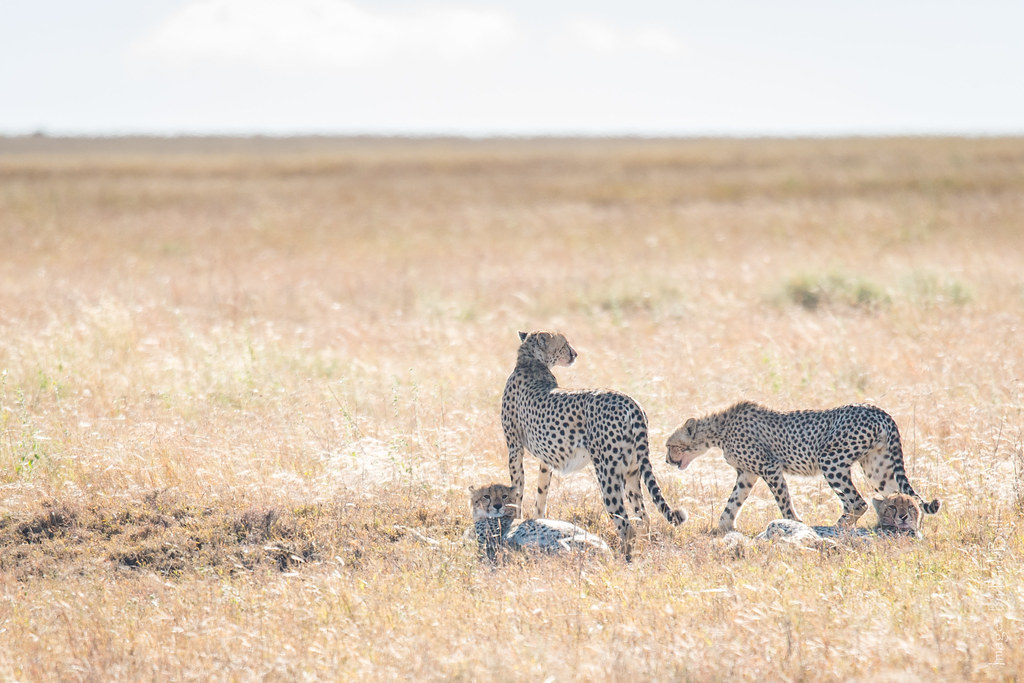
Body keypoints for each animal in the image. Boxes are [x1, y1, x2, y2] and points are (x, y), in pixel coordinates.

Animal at [468, 481, 606, 561]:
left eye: (504, 496)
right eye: (486, 496)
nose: (497, 506)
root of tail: (607, 550)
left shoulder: (486, 541)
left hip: (563, 543)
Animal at [499, 331, 684, 561]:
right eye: (564, 344)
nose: (575, 354)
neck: (531, 362)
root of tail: (630, 401)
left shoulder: (515, 448)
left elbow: (517, 490)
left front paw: (515, 521)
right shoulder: (545, 459)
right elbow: (541, 493)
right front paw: (537, 520)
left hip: (607, 472)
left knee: (625, 523)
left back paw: (620, 559)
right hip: (632, 470)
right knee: (644, 517)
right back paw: (643, 551)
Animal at [667, 401, 937, 532]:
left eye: (671, 445)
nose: (667, 460)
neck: (719, 430)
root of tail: (878, 410)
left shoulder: (769, 467)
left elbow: (783, 500)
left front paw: (794, 524)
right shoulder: (747, 474)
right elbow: (733, 501)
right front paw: (724, 527)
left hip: (830, 459)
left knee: (857, 502)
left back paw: (835, 530)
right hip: (878, 469)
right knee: (901, 498)